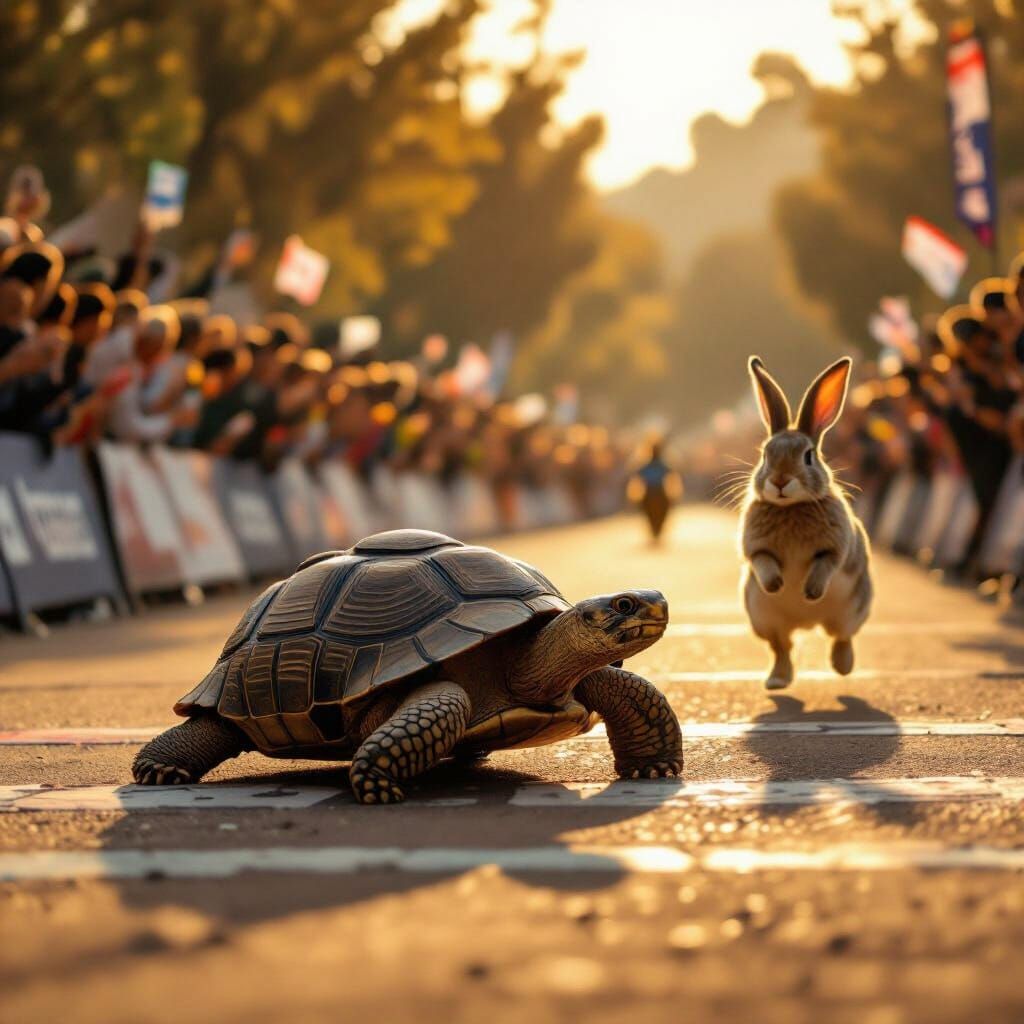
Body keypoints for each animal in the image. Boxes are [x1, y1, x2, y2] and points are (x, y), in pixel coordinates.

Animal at [740, 355, 873, 690]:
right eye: (765, 455)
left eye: (808, 456)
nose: (779, 481)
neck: (791, 507)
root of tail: (809, 623)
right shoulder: (756, 548)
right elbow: (763, 562)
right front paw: (776, 584)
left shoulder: (835, 549)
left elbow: (825, 565)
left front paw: (810, 592)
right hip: (763, 618)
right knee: (781, 647)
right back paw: (776, 681)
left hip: (854, 608)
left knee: (842, 637)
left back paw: (843, 667)